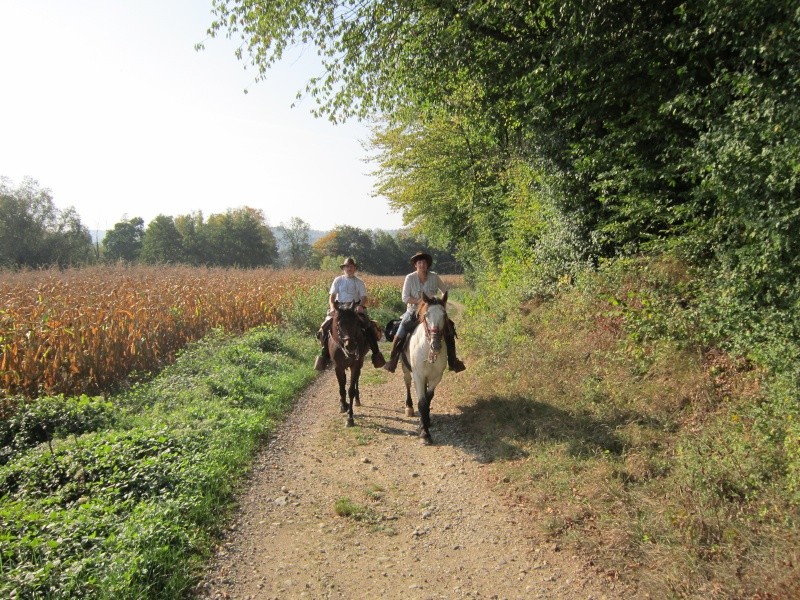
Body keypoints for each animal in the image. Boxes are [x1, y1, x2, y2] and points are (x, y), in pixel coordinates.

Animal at [400, 292, 450, 446]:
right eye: (426, 315)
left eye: (444, 315)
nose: (436, 345)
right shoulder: (419, 376)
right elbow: (422, 402)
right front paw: (424, 434)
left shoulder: (436, 377)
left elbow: (428, 398)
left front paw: (426, 421)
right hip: (406, 369)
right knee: (407, 384)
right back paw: (409, 407)